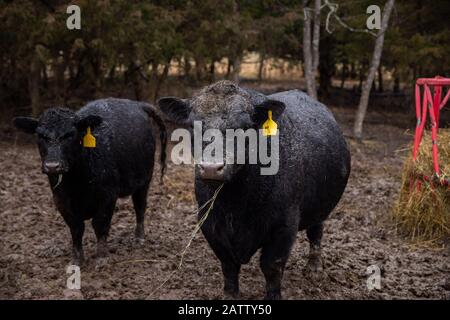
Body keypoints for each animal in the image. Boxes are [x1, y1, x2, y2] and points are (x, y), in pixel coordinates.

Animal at [13, 98, 167, 264]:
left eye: (70, 134)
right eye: (40, 135)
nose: (52, 166)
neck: (77, 182)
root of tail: (137, 104)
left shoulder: (108, 195)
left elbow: (100, 224)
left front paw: (101, 257)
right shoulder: (60, 200)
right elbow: (76, 228)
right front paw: (77, 259)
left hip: (144, 180)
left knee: (140, 207)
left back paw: (139, 238)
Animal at [158, 80, 352, 300]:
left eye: (244, 127)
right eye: (193, 126)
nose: (211, 167)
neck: (235, 202)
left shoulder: (284, 225)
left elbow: (271, 266)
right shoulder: (208, 221)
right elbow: (228, 264)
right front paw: (230, 294)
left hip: (320, 208)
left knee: (316, 234)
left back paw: (314, 268)